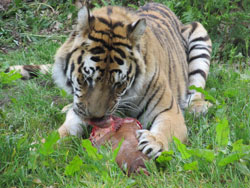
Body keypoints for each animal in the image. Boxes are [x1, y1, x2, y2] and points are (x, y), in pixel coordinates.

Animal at [6, 2, 212, 159]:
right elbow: (64, 131)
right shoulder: (79, 108)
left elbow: (166, 129)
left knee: (196, 88)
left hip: (200, 36)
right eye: (86, 78)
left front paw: (154, 143)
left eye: (118, 84)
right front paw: (38, 147)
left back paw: (198, 107)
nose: (96, 119)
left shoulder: (170, 112)